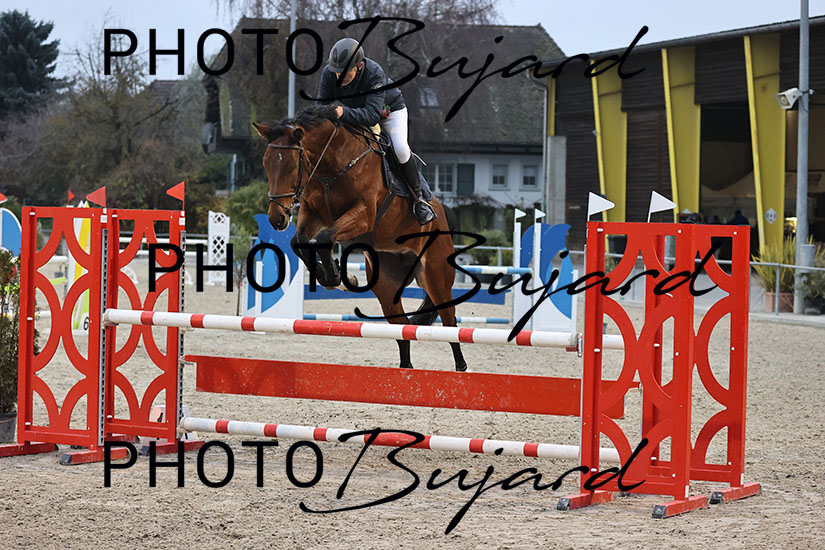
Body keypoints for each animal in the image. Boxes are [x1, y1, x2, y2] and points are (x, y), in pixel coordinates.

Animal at [252, 105, 467, 372]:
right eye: (266, 164)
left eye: (292, 166)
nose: (277, 219)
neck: (331, 165)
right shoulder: (312, 214)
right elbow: (298, 243)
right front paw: (333, 277)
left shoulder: (362, 215)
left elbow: (326, 238)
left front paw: (336, 276)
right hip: (387, 287)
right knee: (402, 329)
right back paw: (405, 372)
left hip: (436, 279)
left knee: (450, 326)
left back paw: (461, 371)